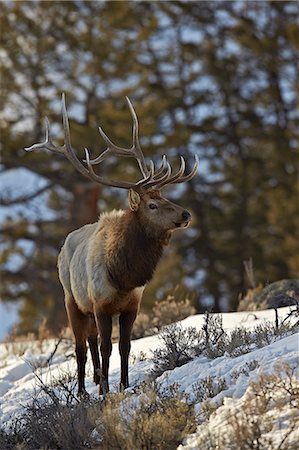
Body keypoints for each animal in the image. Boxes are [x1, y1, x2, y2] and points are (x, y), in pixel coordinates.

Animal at [25, 95, 199, 394]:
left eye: (166, 198)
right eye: (152, 205)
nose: (186, 214)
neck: (123, 275)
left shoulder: (132, 305)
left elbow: (125, 346)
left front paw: (122, 385)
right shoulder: (100, 303)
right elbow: (107, 346)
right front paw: (106, 390)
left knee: (91, 340)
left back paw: (96, 379)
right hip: (72, 299)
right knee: (82, 346)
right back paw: (84, 390)